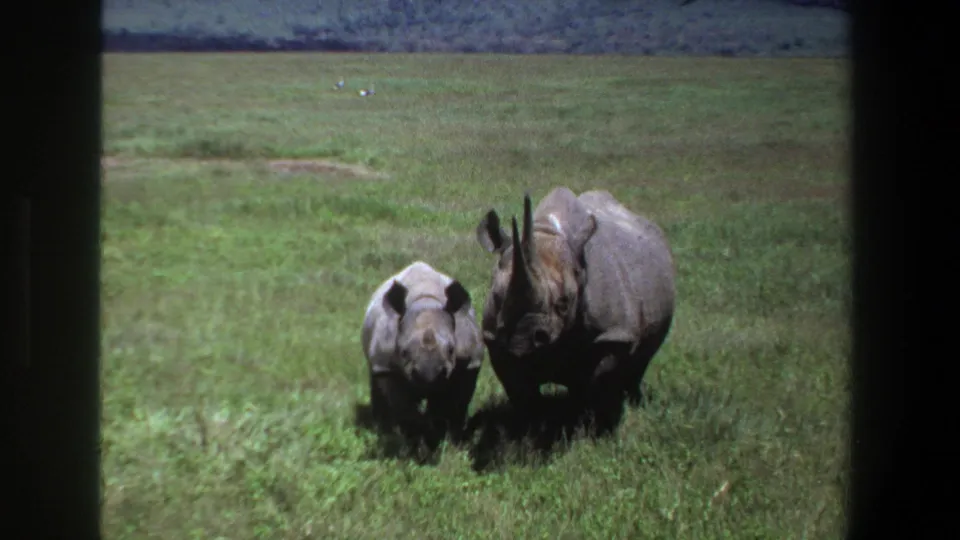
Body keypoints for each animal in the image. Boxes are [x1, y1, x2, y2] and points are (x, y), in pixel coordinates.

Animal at [361, 261, 484, 443]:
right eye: (403, 352)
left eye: (451, 350)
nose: (429, 376)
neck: (426, 301)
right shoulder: (386, 366)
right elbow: (402, 405)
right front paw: (416, 436)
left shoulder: (470, 363)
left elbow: (454, 403)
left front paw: (445, 436)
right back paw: (383, 428)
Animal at [475, 187, 676, 431]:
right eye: (497, 297)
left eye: (564, 302)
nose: (523, 338)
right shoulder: (495, 340)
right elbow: (522, 392)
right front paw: (533, 429)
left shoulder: (613, 334)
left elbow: (597, 381)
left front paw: (592, 428)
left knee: (641, 360)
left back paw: (633, 402)